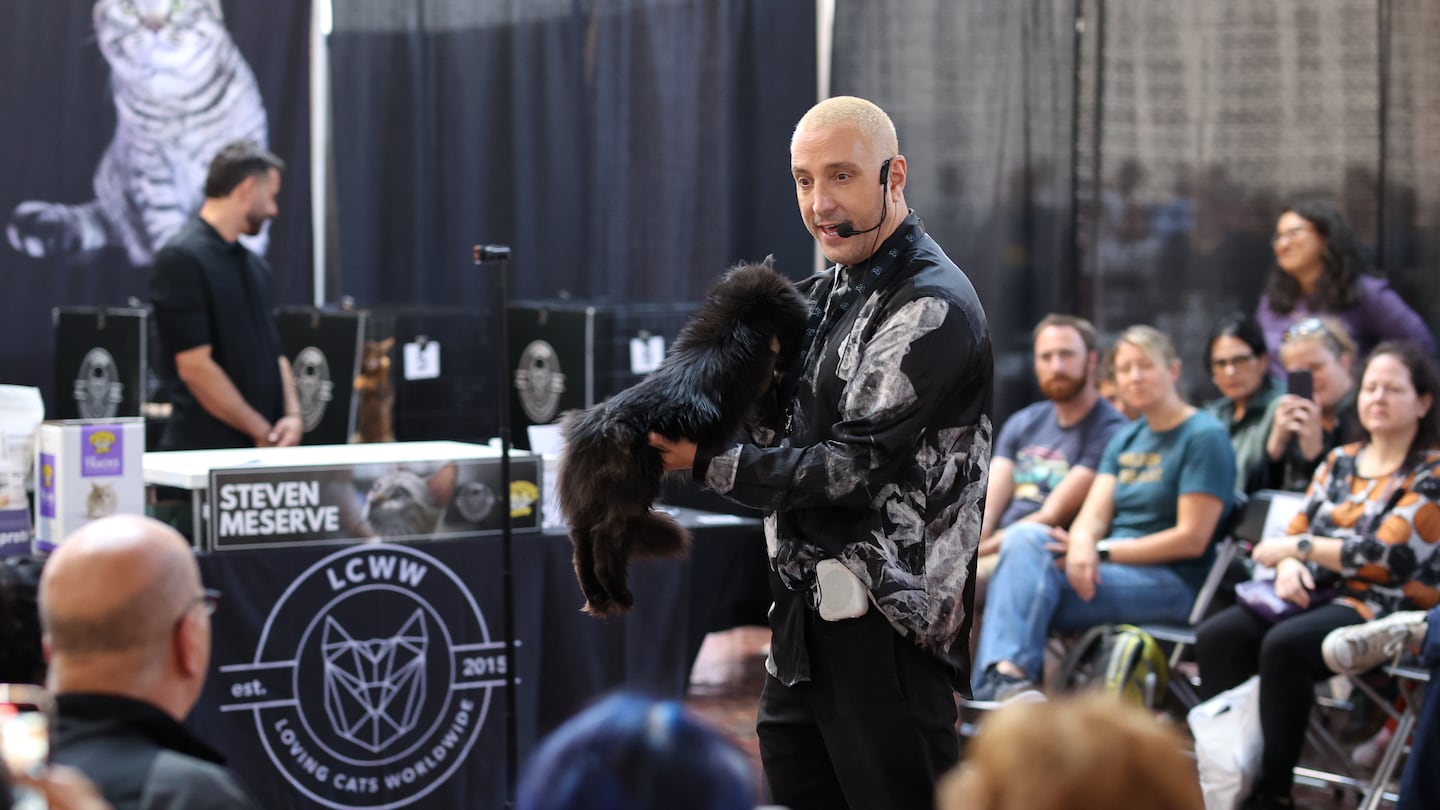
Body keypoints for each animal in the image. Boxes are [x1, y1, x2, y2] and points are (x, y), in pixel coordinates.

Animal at [555, 257, 812, 611]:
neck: (733, 323)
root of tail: (591, 430)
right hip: (629, 497)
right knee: (604, 543)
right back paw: (620, 597)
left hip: (593, 505)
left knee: (582, 549)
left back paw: (600, 599)